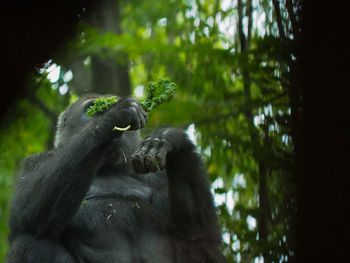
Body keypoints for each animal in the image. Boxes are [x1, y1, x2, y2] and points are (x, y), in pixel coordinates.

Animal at [7, 95, 227, 263]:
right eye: (91, 108)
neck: (108, 167)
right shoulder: (35, 161)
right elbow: (26, 212)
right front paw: (114, 116)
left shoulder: (156, 174)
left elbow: (199, 232)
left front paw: (170, 138)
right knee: (30, 241)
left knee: (202, 246)